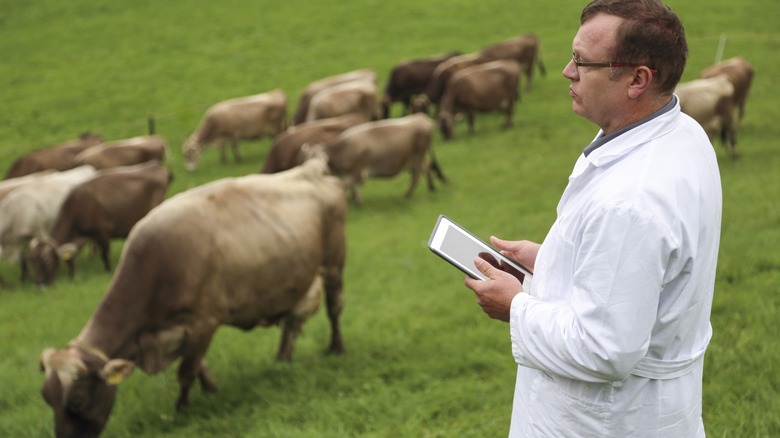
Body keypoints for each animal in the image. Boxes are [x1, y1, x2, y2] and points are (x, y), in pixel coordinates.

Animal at [26, 159, 174, 286]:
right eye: (32, 262)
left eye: (47, 262)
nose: (39, 284)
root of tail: (155, 166)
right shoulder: (80, 238)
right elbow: (71, 258)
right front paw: (72, 276)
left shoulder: (102, 233)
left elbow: (105, 255)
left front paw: (108, 271)